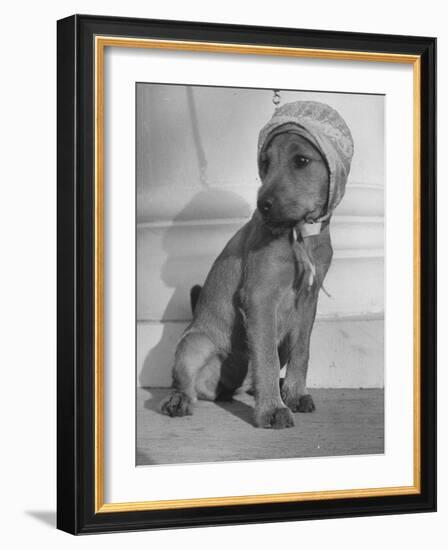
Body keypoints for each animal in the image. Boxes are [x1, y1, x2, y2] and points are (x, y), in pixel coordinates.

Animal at [161, 102, 354, 432]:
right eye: (265, 162)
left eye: (301, 160)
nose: (263, 205)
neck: (301, 234)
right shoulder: (260, 299)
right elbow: (265, 358)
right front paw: (273, 410)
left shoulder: (307, 303)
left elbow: (302, 352)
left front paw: (294, 394)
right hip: (194, 344)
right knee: (185, 383)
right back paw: (180, 400)